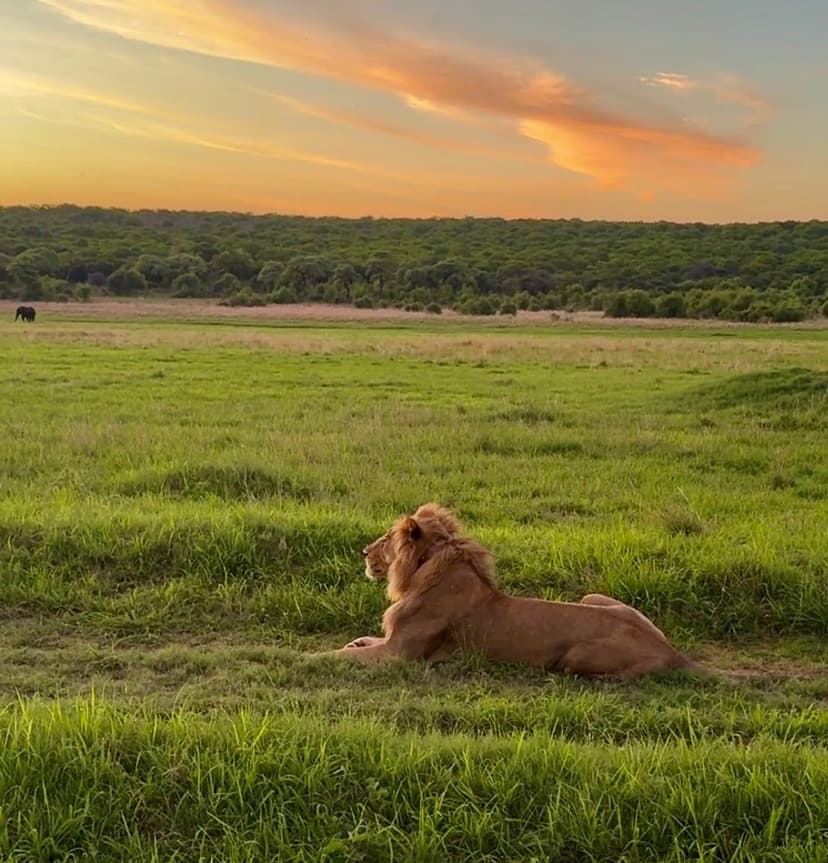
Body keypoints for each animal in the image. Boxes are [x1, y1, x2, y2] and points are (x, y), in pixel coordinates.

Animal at [336, 503, 695, 679]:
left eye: (386, 539)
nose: (364, 551)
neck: (422, 572)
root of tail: (673, 652)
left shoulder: (399, 655)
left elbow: (338, 656)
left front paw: (323, 657)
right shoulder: (392, 643)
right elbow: (365, 641)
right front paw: (356, 640)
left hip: (575, 656)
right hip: (593, 597)